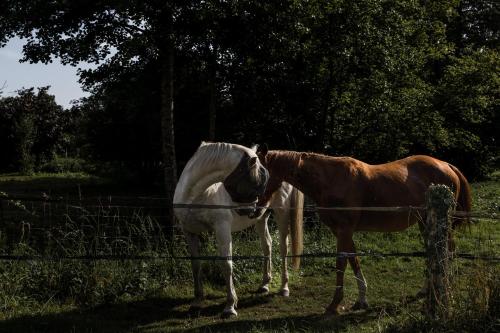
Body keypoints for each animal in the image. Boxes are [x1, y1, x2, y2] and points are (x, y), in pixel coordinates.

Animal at [174, 141, 302, 316]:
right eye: (259, 181)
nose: (252, 209)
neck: (196, 195)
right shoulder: (189, 232)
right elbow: (196, 265)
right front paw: (197, 301)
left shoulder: (222, 229)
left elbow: (227, 264)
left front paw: (230, 306)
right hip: (262, 219)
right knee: (267, 245)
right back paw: (264, 285)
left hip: (281, 213)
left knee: (283, 248)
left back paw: (284, 288)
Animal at [256, 147, 470, 316]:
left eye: (260, 174)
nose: (256, 208)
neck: (331, 179)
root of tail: (447, 165)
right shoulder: (343, 232)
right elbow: (354, 260)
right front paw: (362, 300)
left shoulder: (344, 231)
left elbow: (341, 263)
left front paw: (334, 304)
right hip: (425, 222)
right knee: (433, 250)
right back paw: (427, 288)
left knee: (448, 250)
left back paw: (445, 286)